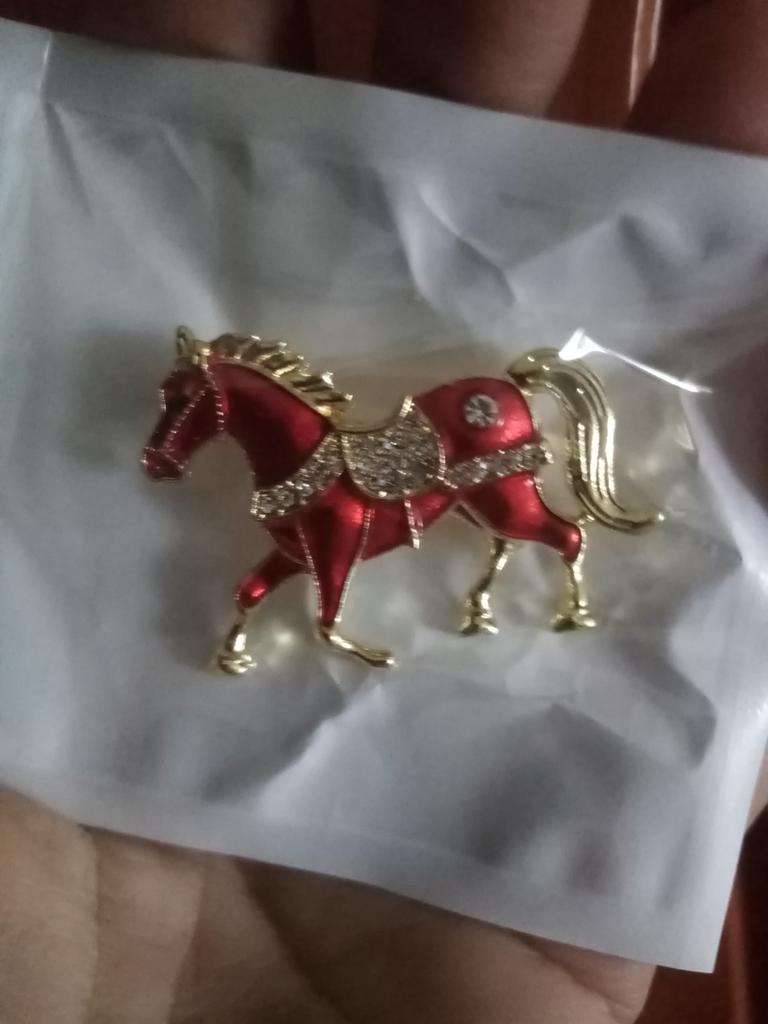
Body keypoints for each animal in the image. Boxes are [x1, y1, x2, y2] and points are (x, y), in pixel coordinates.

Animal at [142, 328, 658, 675]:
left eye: (185, 399)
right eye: (162, 392)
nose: (155, 464)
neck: (301, 456)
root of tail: (512, 387)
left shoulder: (334, 549)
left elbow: (326, 622)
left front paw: (374, 656)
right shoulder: (292, 552)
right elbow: (247, 592)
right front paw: (231, 657)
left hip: (506, 497)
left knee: (570, 535)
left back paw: (573, 616)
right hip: (478, 501)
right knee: (507, 544)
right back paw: (478, 614)